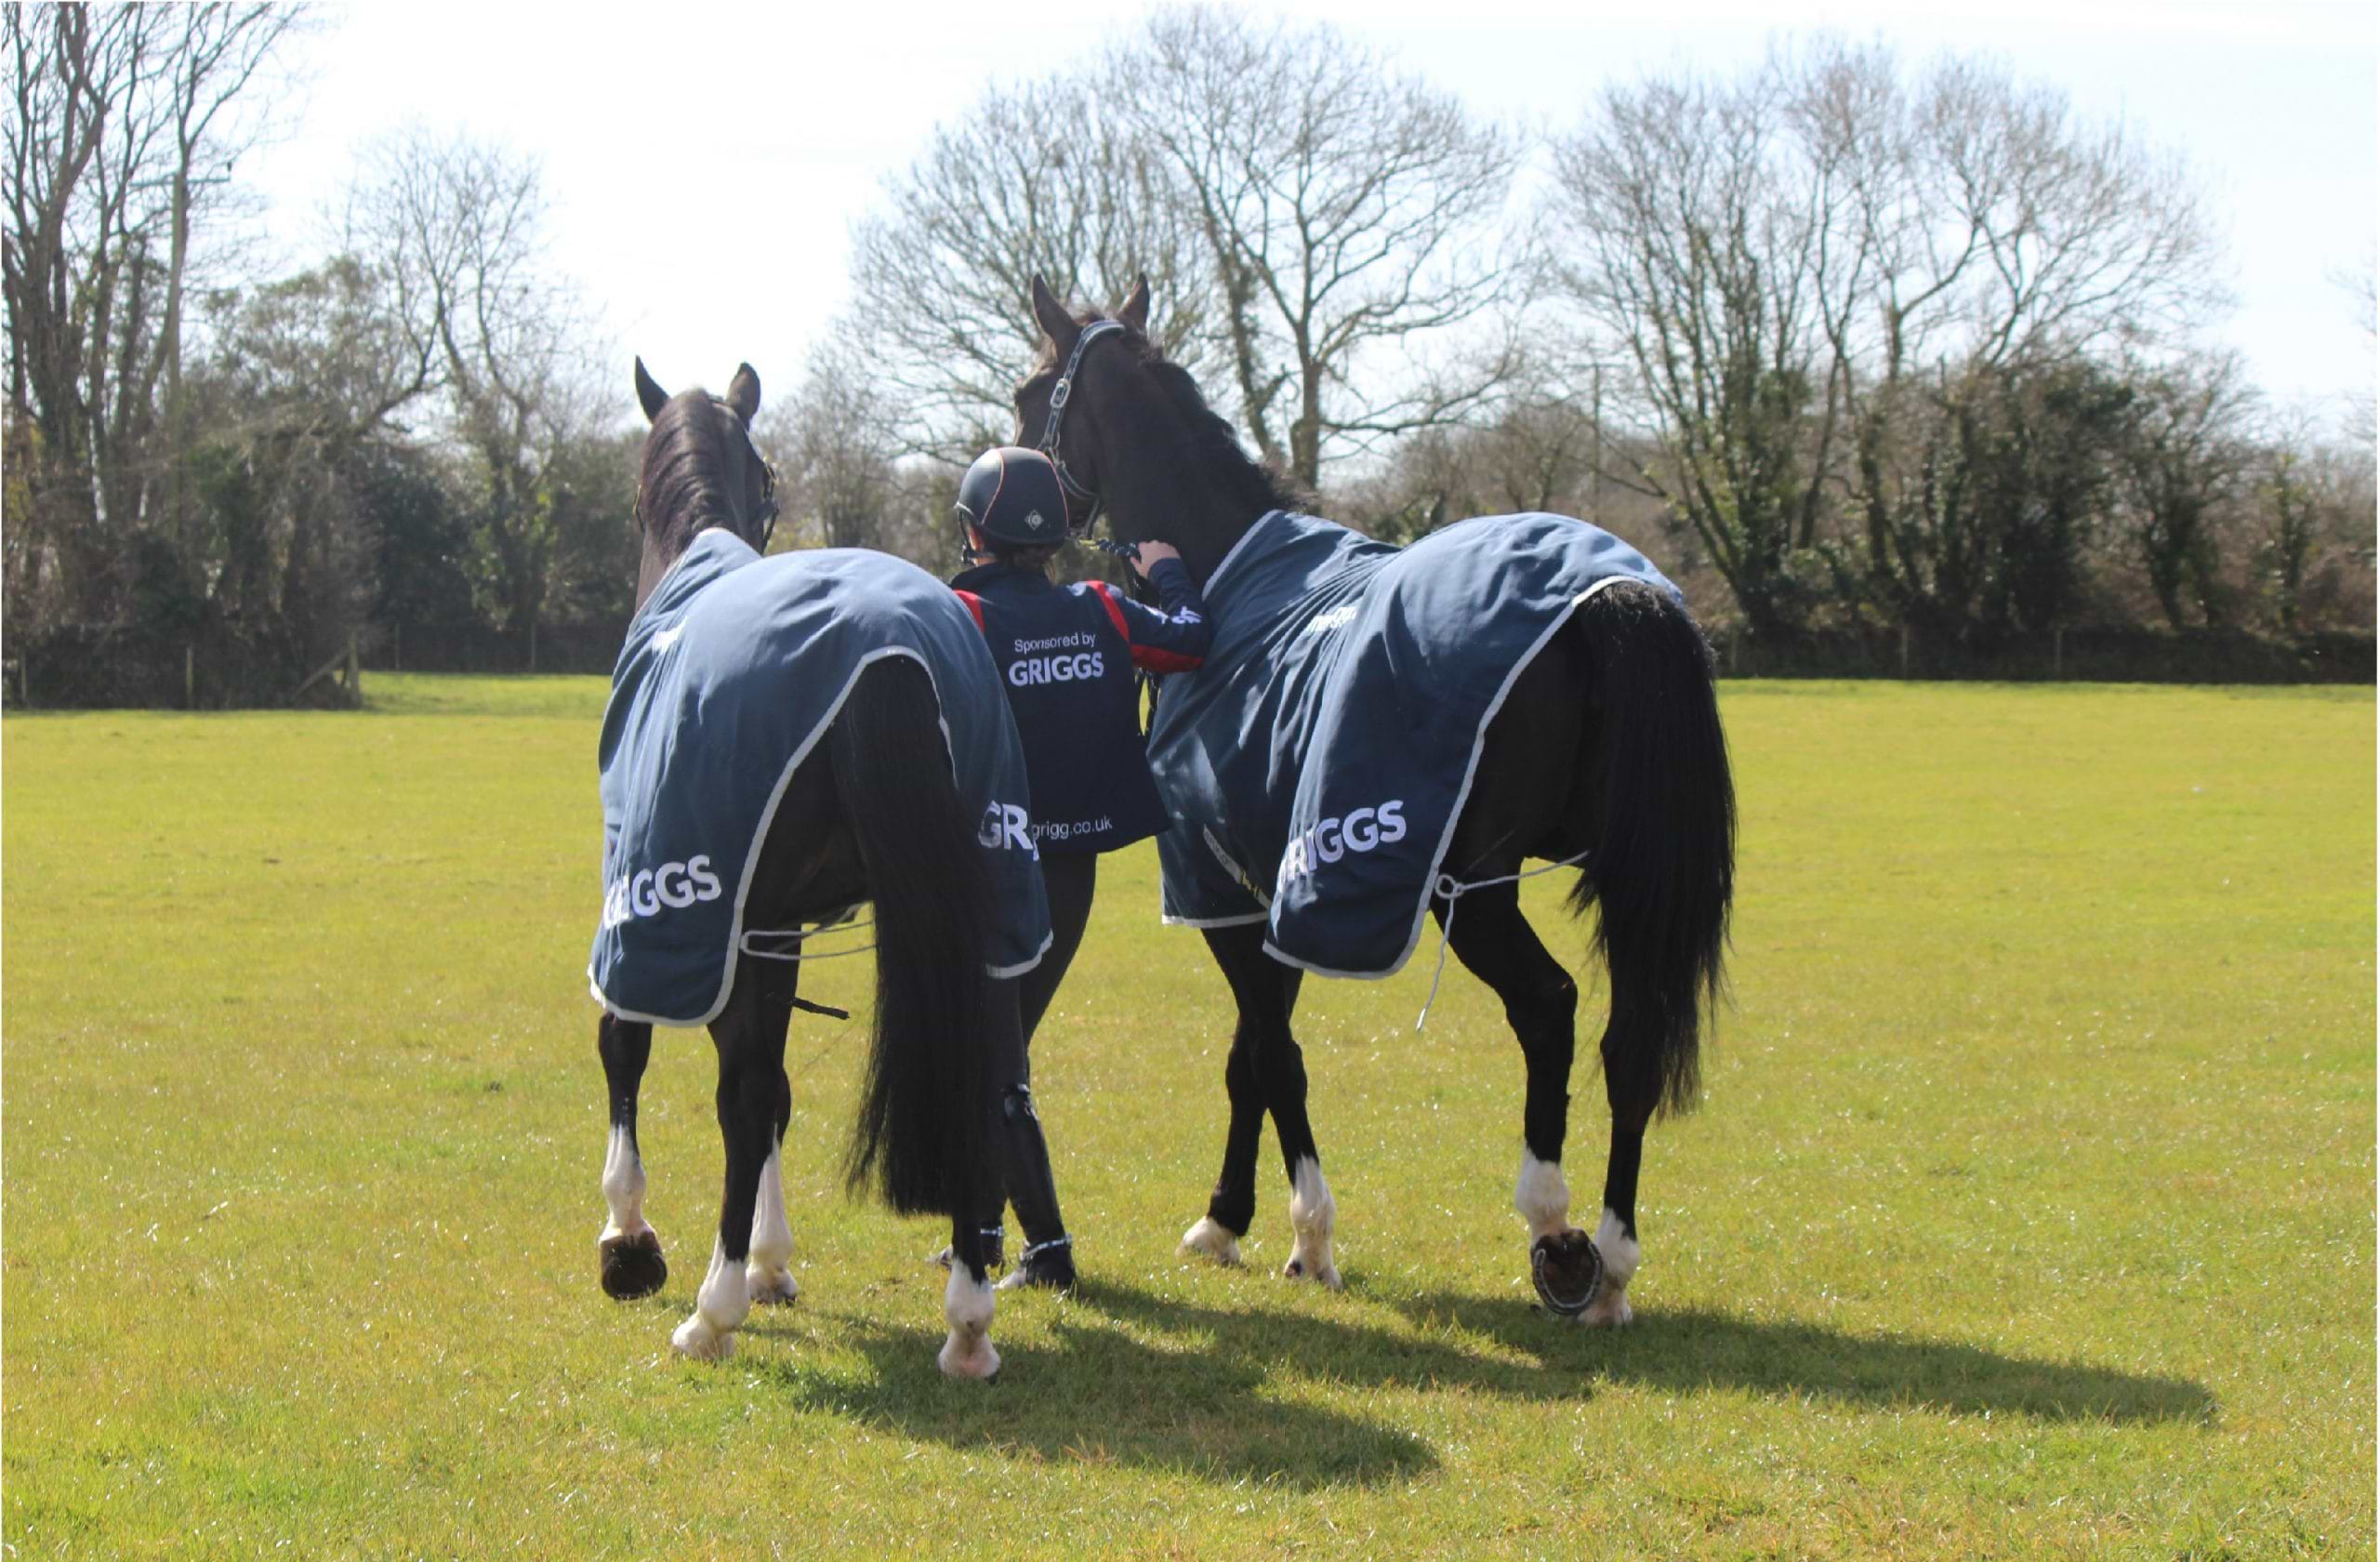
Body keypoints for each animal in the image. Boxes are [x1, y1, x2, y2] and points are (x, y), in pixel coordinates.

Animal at [589, 357, 1037, 1378]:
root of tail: (892, 651)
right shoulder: (773, 927)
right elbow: (781, 1088)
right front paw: (769, 1260)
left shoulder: (669, 906)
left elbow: (637, 1049)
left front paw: (634, 1242)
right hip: (987, 909)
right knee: (981, 1071)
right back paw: (968, 1320)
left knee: (740, 1093)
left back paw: (709, 1314)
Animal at [1009, 277, 1735, 1325]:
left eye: (1029, 397)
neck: (1223, 583)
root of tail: (1605, 599)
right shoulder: (1266, 888)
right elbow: (1248, 1054)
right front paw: (1224, 1219)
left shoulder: (1221, 890)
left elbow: (1274, 1055)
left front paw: (1310, 1235)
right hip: (1631, 877)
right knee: (1628, 1036)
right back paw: (1614, 1261)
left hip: (1471, 890)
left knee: (1548, 1007)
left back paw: (1557, 1235)